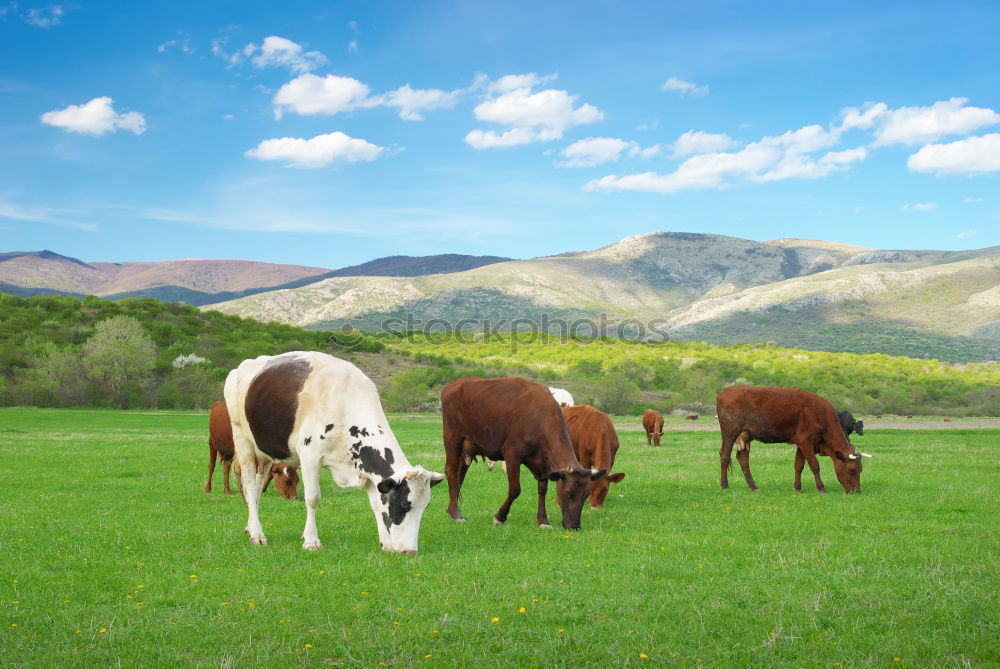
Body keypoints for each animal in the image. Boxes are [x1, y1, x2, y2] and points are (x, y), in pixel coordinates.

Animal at [229, 350, 448, 552]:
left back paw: (251, 528)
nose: (410, 550)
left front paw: (386, 543)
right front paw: (311, 541)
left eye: (425, 506)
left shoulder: (366, 469)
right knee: (249, 485)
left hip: (264, 453)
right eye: (404, 504)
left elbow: (376, 504)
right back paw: (257, 535)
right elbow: (312, 498)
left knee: (257, 489)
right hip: (243, 442)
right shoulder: (309, 456)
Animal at [442, 378, 604, 528]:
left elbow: (542, 489)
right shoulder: (512, 455)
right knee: (451, 472)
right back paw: (456, 514)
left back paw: (451, 510)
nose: (575, 526)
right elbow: (515, 490)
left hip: (467, 447)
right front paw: (500, 517)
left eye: (586, 495)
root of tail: (454, 384)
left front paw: (543, 520)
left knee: (460, 475)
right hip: (452, 439)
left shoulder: (544, 464)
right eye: (568, 492)